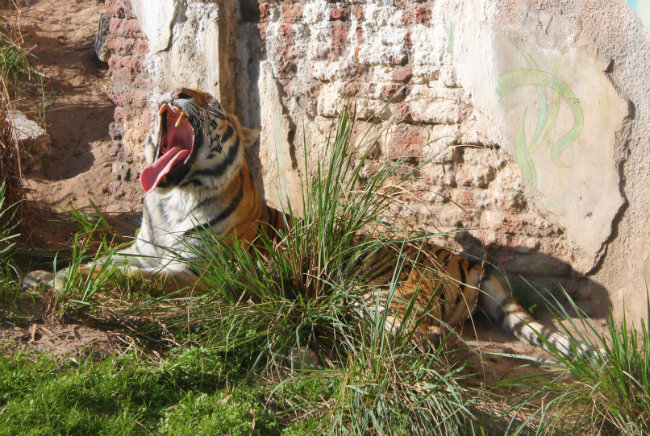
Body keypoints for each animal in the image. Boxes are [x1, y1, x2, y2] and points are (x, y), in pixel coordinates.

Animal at [23, 87, 596, 360]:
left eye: (210, 102)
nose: (175, 91)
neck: (171, 199)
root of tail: (465, 257)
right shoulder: (143, 248)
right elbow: (99, 259)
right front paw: (44, 275)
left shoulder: (199, 273)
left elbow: (131, 280)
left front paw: (68, 282)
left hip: (379, 290)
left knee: (426, 335)